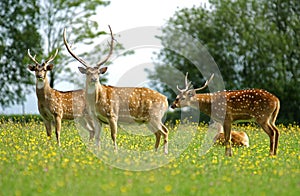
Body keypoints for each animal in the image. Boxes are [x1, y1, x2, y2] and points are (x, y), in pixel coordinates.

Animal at [63, 26, 169, 154]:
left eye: (98, 73)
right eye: (88, 73)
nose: (94, 79)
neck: (97, 102)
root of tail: (166, 99)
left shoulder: (113, 114)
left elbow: (113, 135)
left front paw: (115, 152)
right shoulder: (96, 117)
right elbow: (98, 136)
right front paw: (98, 151)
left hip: (155, 115)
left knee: (165, 131)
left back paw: (165, 153)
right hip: (149, 119)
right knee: (158, 133)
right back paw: (155, 153)